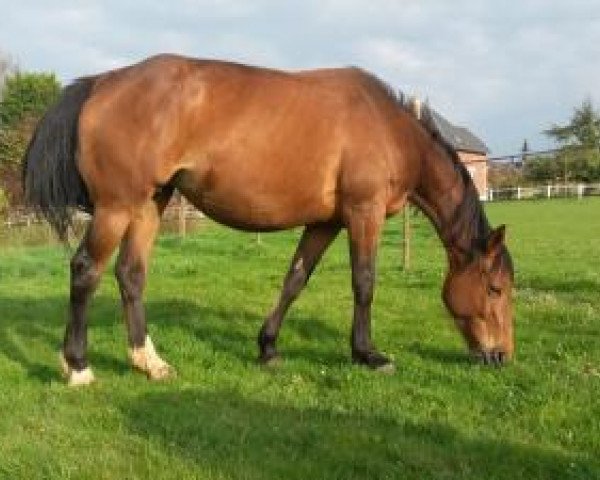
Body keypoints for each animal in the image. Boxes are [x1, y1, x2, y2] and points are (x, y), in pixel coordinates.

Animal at [21, 54, 512, 386]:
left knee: (130, 274)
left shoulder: (326, 222)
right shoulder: (363, 213)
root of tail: (101, 82)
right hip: (117, 206)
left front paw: (268, 347)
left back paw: (149, 362)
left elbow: (295, 279)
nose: (501, 355)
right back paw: (78, 366)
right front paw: (368, 354)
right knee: (86, 270)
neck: (388, 129)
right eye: (495, 288)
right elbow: (364, 282)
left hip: (149, 204)